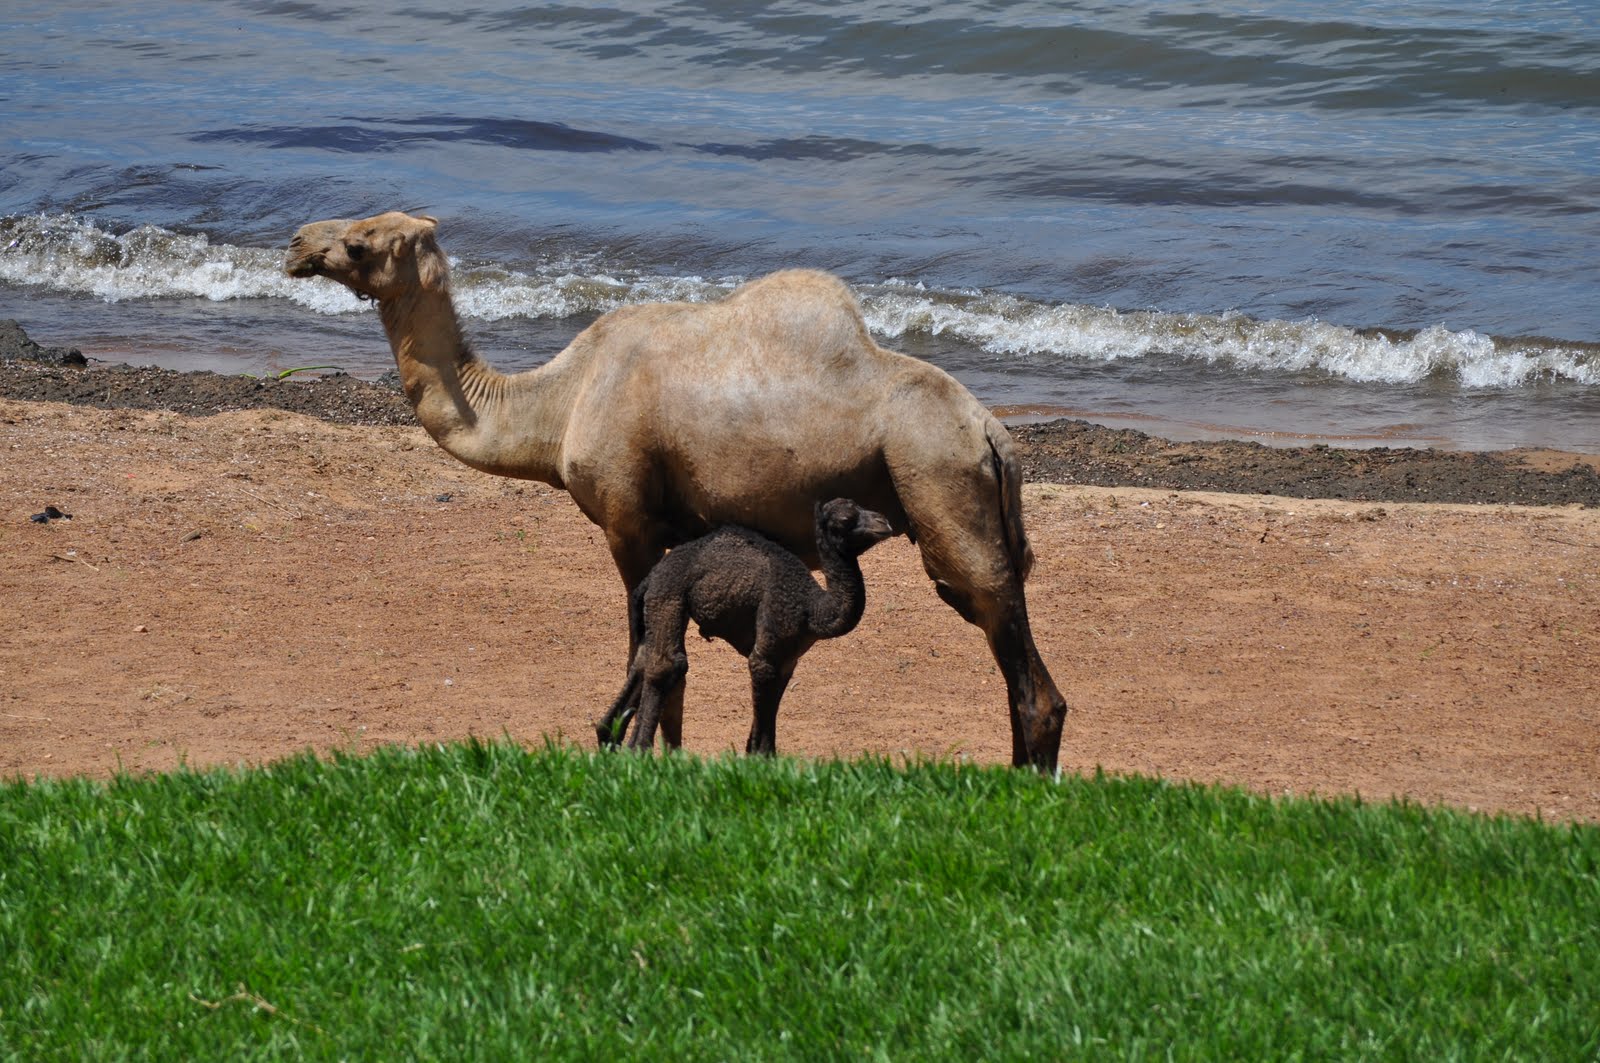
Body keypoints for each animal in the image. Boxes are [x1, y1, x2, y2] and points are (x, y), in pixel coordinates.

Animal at [600, 498, 895, 756]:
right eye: (846, 519)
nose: (884, 522)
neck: (812, 608)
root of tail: (652, 577)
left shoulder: (787, 658)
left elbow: (773, 696)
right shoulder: (769, 646)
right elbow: (761, 679)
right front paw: (762, 759)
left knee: (643, 658)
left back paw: (610, 738)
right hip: (669, 594)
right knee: (667, 664)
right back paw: (637, 751)